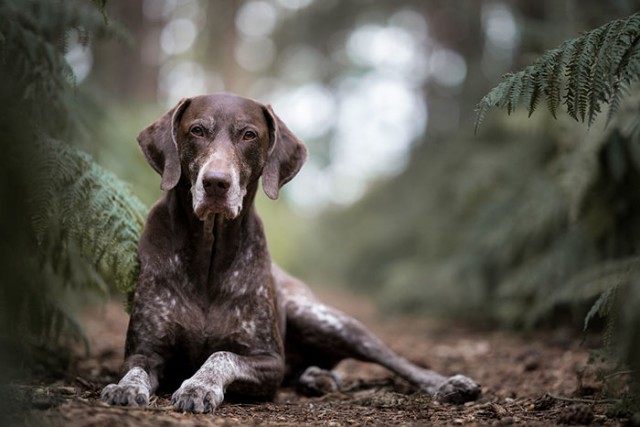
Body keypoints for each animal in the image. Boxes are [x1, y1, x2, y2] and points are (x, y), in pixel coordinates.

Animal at [100, 92, 480, 412]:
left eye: (248, 135)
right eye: (197, 130)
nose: (216, 183)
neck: (209, 250)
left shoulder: (269, 362)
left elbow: (221, 355)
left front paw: (198, 386)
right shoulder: (145, 350)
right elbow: (135, 370)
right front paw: (125, 388)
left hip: (326, 320)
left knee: (394, 359)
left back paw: (447, 383)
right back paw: (316, 377)